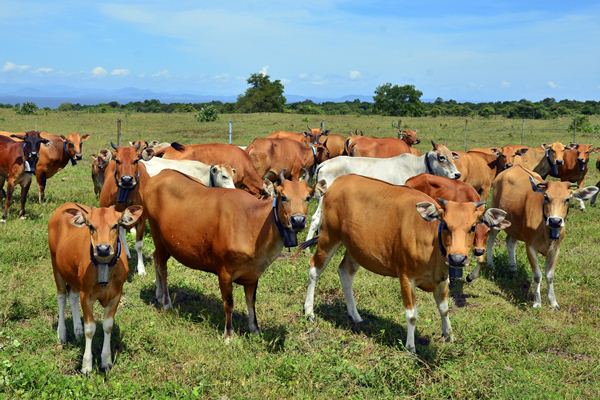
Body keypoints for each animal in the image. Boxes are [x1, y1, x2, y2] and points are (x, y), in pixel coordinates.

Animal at [48, 202, 143, 374]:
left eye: (115, 225)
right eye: (91, 226)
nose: (103, 248)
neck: (104, 267)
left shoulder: (116, 295)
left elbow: (108, 326)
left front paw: (106, 360)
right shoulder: (86, 295)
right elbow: (90, 329)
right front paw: (86, 365)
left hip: (73, 275)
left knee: (72, 295)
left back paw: (77, 329)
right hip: (56, 266)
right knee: (61, 296)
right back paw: (62, 333)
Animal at [145, 169, 314, 340]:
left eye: (308, 197)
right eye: (283, 196)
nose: (298, 220)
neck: (254, 224)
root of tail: (161, 174)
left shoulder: (253, 275)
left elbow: (251, 302)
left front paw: (255, 329)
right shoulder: (224, 271)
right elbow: (229, 303)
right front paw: (228, 335)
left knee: (155, 258)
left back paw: (158, 294)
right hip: (158, 236)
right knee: (162, 267)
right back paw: (166, 302)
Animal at [302, 175, 508, 354]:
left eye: (473, 227)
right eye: (446, 225)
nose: (457, 259)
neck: (431, 243)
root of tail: (338, 182)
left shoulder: (442, 279)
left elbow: (444, 309)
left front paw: (449, 335)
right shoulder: (406, 277)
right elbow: (412, 315)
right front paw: (410, 347)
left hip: (355, 248)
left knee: (345, 273)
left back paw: (355, 315)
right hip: (329, 236)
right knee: (314, 269)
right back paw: (309, 311)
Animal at [308, 141, 462, 241]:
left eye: (452, 156)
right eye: (442, 157)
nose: (457, 174)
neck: (417, 167)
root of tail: (324, 164)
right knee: (315, 219)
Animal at [482, 166, 600, 310]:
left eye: (567, 199)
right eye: (546, 197)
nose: (555, 221)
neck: (546, 230)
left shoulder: (556, 249)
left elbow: (550, 275)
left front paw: (553, 302)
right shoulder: (530, 246)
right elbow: (538, 275)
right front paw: (537, 302)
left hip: (516, 226)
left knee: (510, 241)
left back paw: (513, 268)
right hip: (496, 217)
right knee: (491, 239)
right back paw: (490, 264)